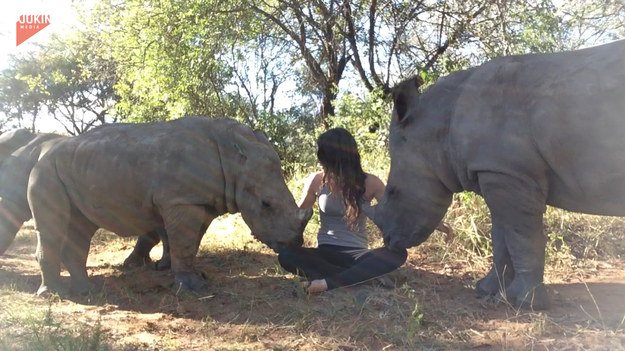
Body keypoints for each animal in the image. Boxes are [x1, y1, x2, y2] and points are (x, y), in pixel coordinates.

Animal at [29, 117, 312, 296]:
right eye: (266, 204)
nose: (295, 243)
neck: (233, 159)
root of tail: (44, 152)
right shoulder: (181, 200)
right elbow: (184, 243)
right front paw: (194, 290)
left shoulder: (199, 200)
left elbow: (190, 243)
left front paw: (196, 278)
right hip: (45, 171)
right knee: (53, 227)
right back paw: (54, 295)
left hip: (75, 170)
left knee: (81, 226)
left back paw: (87, 292)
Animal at [370, 39, 624, 310]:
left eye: (393, 192)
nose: (388, 241)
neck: (437, 127)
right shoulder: (496, 171)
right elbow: (501, 235)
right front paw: (488, 291)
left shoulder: (509, 173)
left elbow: (522, 236)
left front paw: (526, 303)